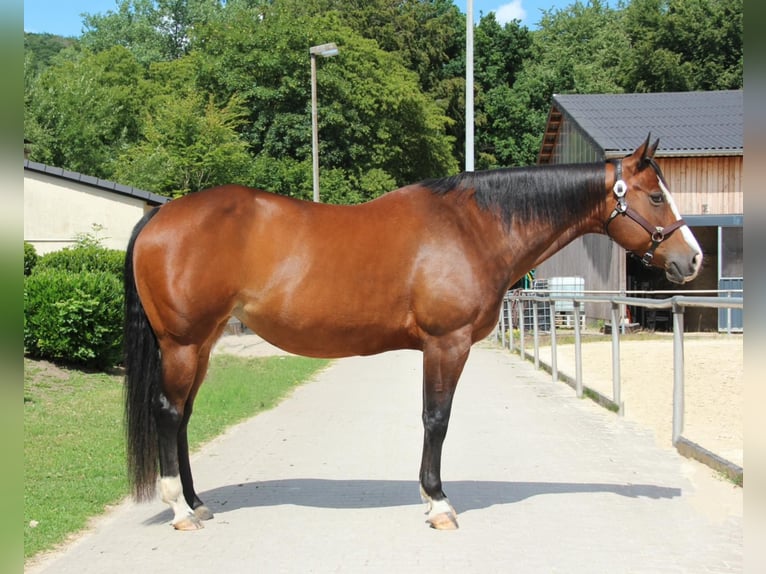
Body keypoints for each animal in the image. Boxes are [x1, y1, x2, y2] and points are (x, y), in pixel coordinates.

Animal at [123, 135, 702, 531]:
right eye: (655, 197)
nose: (691, 259)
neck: (474, 227)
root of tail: (161, 215)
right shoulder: (447, 343)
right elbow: (436, 420)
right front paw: (438, 502)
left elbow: (433, 419)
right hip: (183, 344)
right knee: (169, 414)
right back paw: (180, 510)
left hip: (203, 344)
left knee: (182, 418)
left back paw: (198, 503)